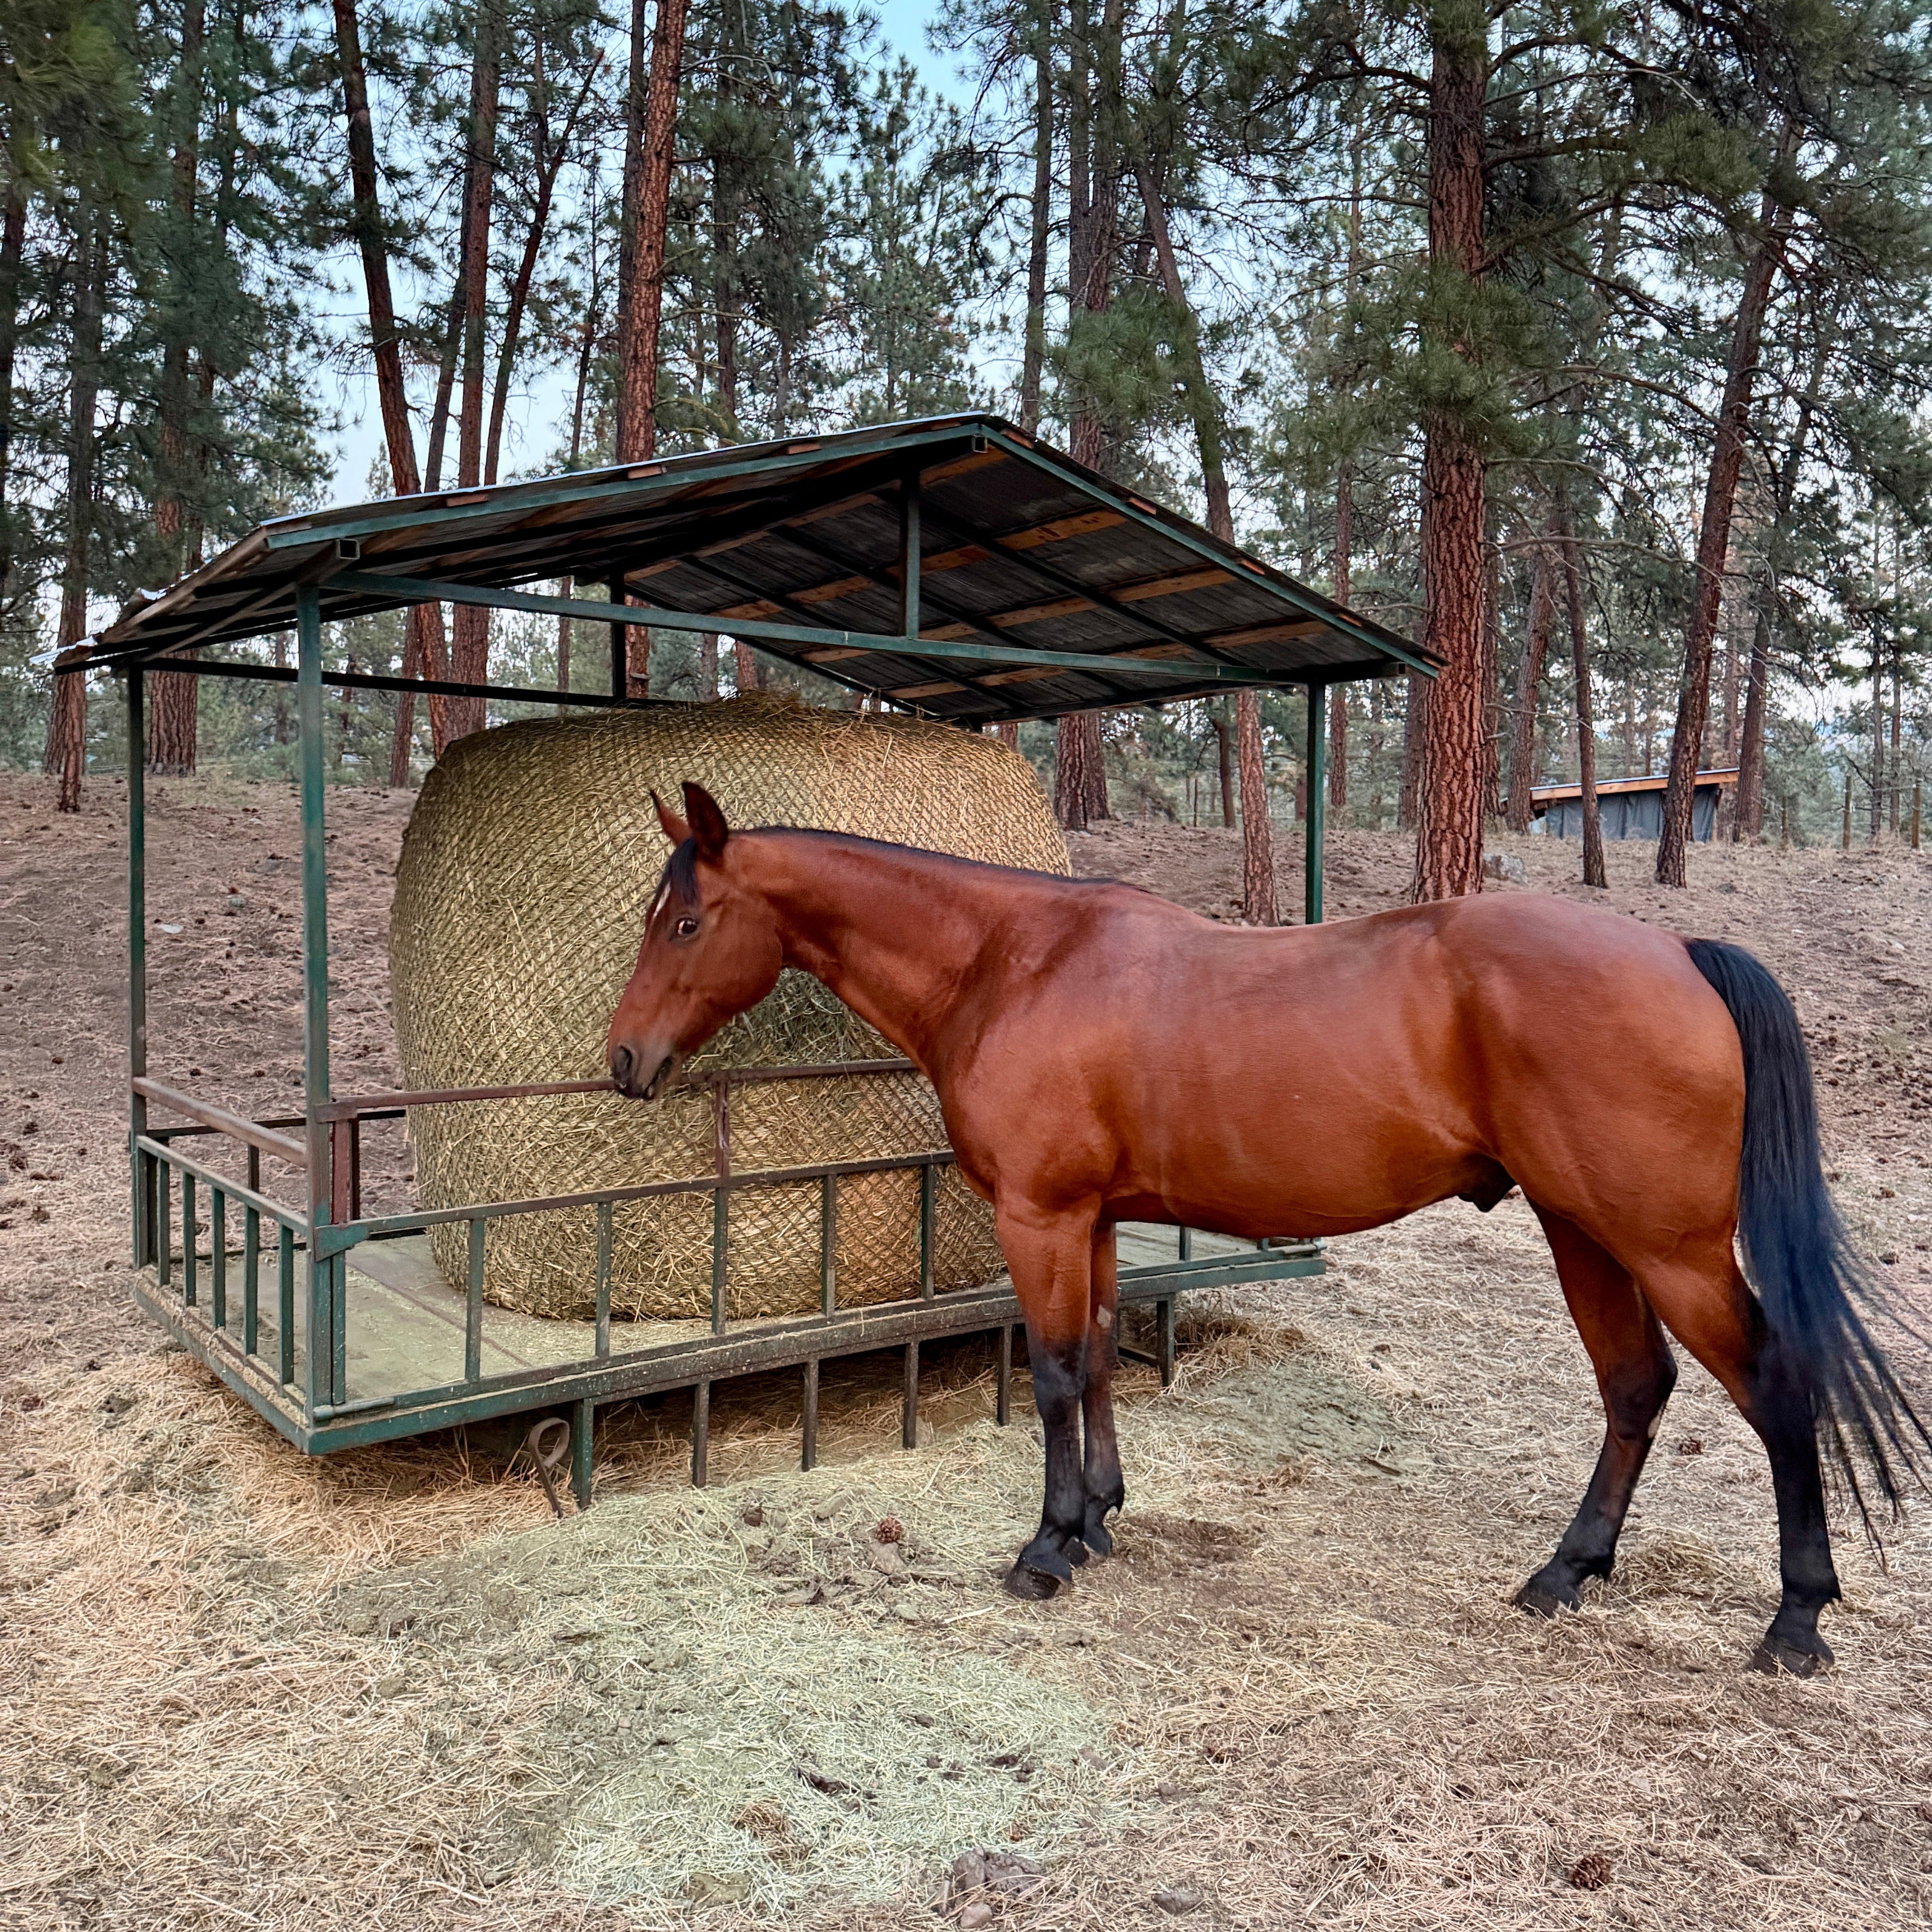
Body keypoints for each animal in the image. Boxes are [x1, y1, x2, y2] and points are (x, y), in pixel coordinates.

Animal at [605, 782, 1925, 1675]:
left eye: (684, 924)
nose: (622, 1062)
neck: (1015, 960)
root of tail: (1678, 951)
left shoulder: (1040, 1215)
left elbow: (1051, 1371)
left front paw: (1045, 1546)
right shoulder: (1089, 1220)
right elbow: (1096, 1359)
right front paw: (1098, 1518)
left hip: (1666, 1246)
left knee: (1772, 1384)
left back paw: (1794, 1615)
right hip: (1584, 1232)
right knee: (1635, 1385)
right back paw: (1566, 1571)